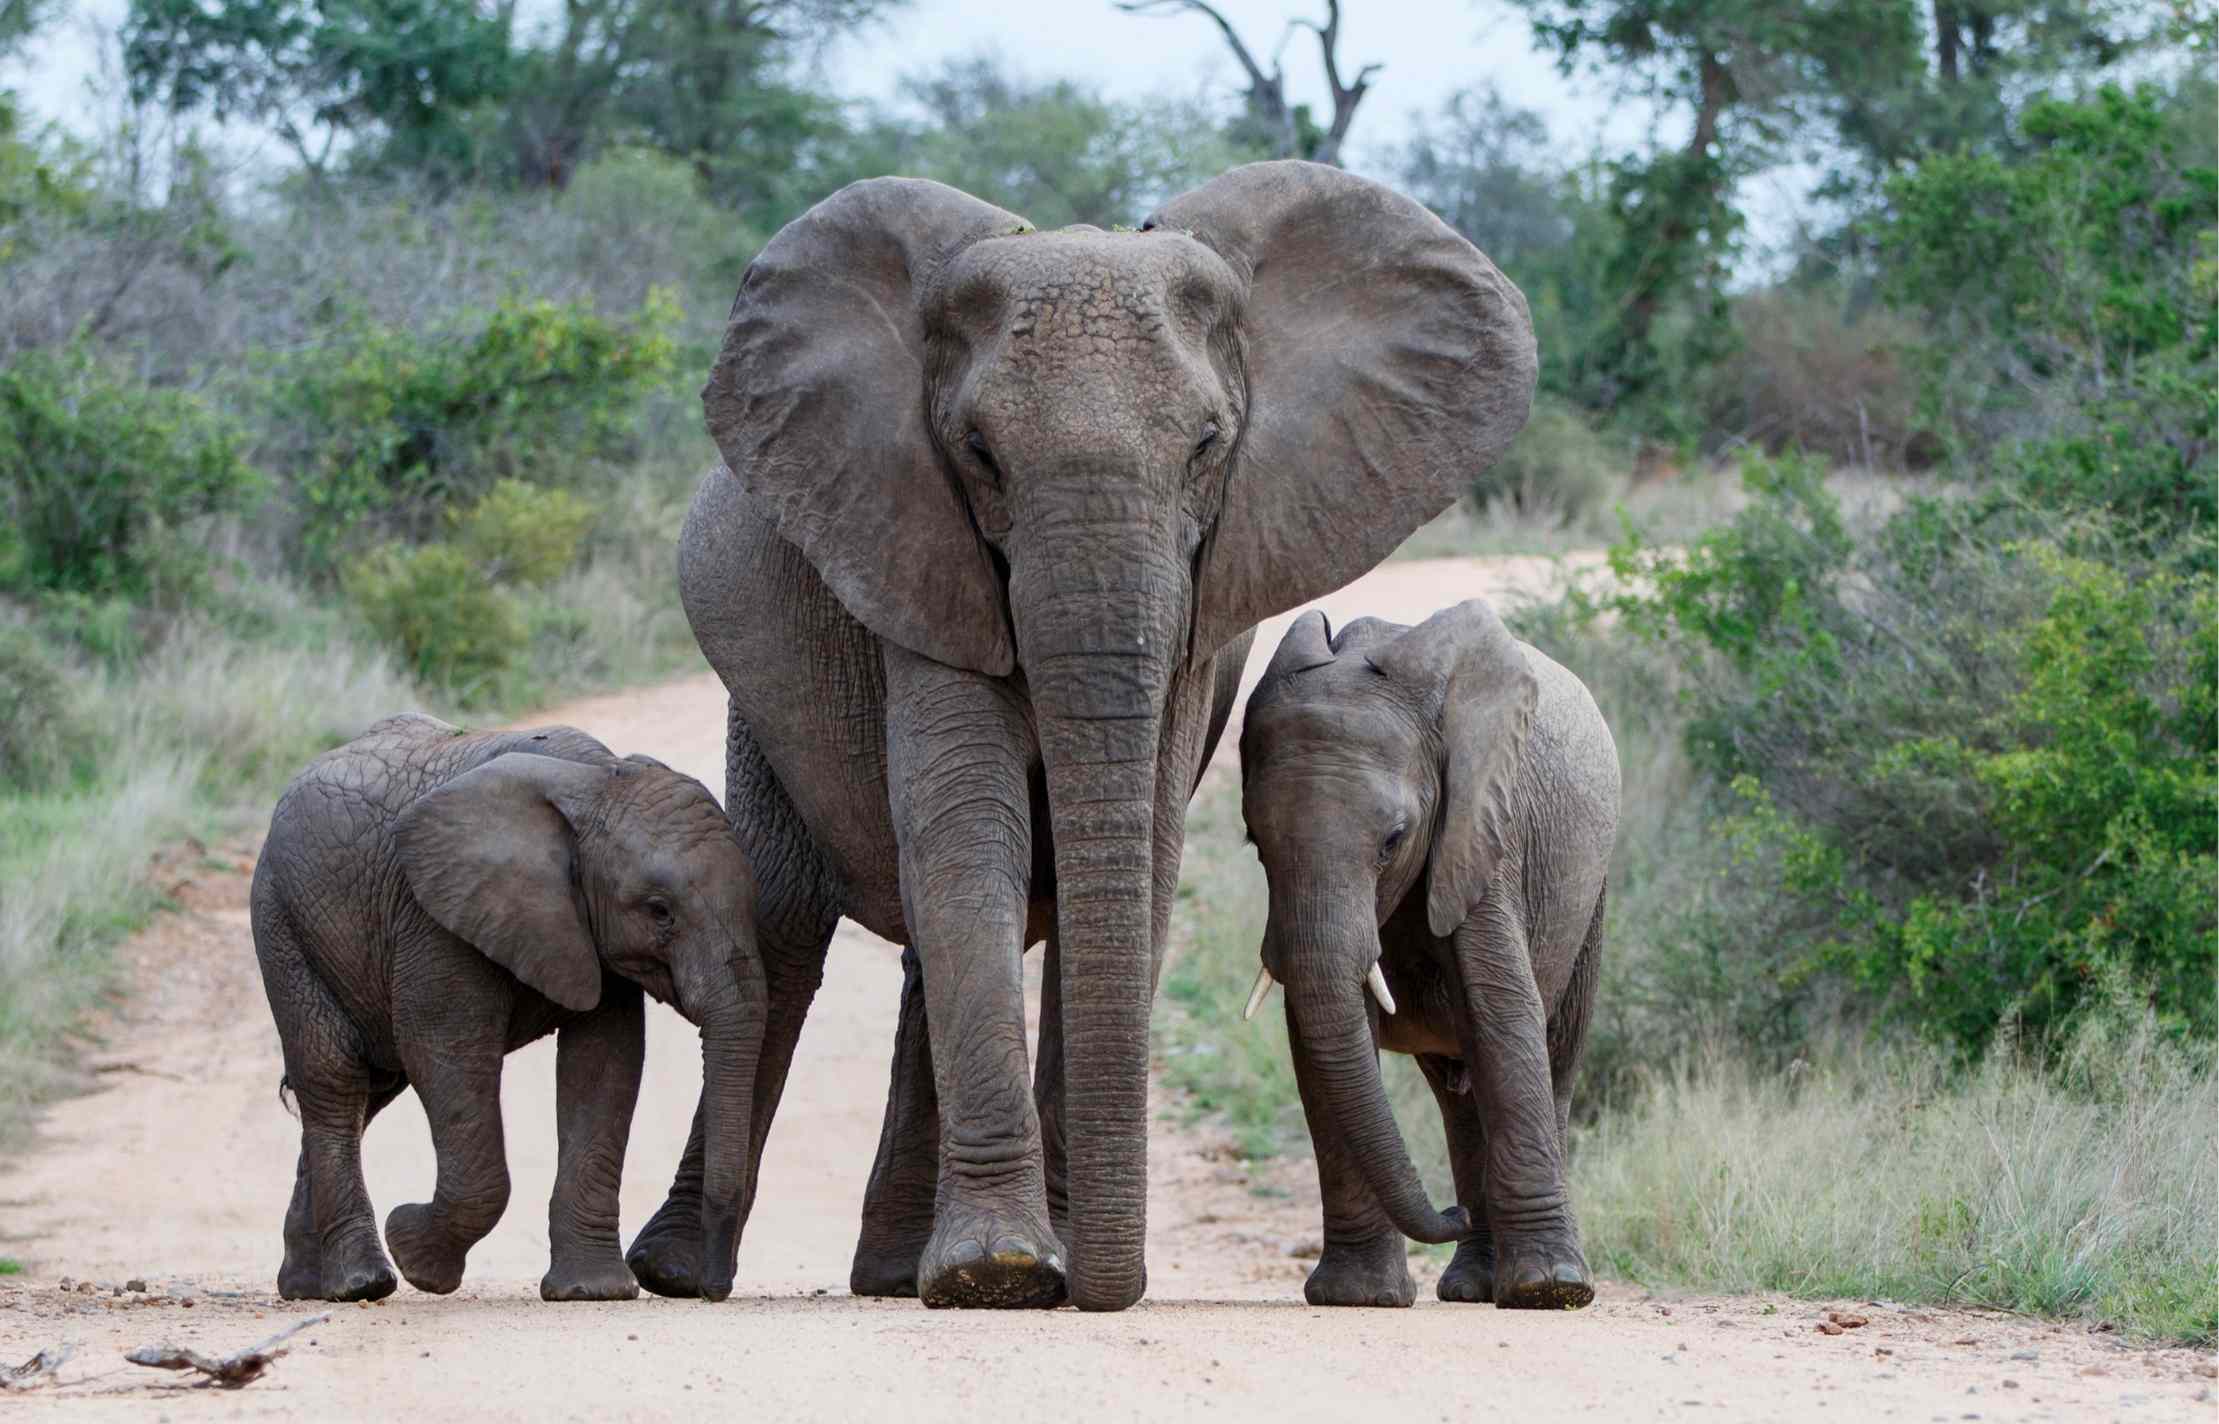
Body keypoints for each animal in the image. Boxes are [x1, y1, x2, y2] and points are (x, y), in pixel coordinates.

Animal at [250, 714, 765, 1304]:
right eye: (660, 912)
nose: (711, 1288)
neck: (595, 779)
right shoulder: (434, 914)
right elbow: (448, 1054)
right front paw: (417, 1255)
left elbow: (605, 1064)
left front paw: (592, 1292)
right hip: (282, 919)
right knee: (336, 1077)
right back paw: (362, 1284)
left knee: (370, 1087)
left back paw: (307, 1286)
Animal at [632, 159, 1536, 1312]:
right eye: (978, 454)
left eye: (1206, 446)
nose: (1111, 1283)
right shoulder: (918, 553)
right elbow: (968, 832)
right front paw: (1000, 1271)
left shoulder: (1208, 600)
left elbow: (1132, 856)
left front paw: (1028, 1266)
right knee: (787, 923)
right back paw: (682, 1271)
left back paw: (891, 1272)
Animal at [1237, 599, 1618, 1310]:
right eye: (1255, 843)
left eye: (1394, 841)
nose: (1450, 1213)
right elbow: (1318, 1039)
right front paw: (1358, 1298)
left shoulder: (1484, 832)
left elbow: (1503, 1013)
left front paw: (1548, 1292)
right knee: (1457, 1094)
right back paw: (1472, 1283)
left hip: (1592, 896)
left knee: (1554, 1054)